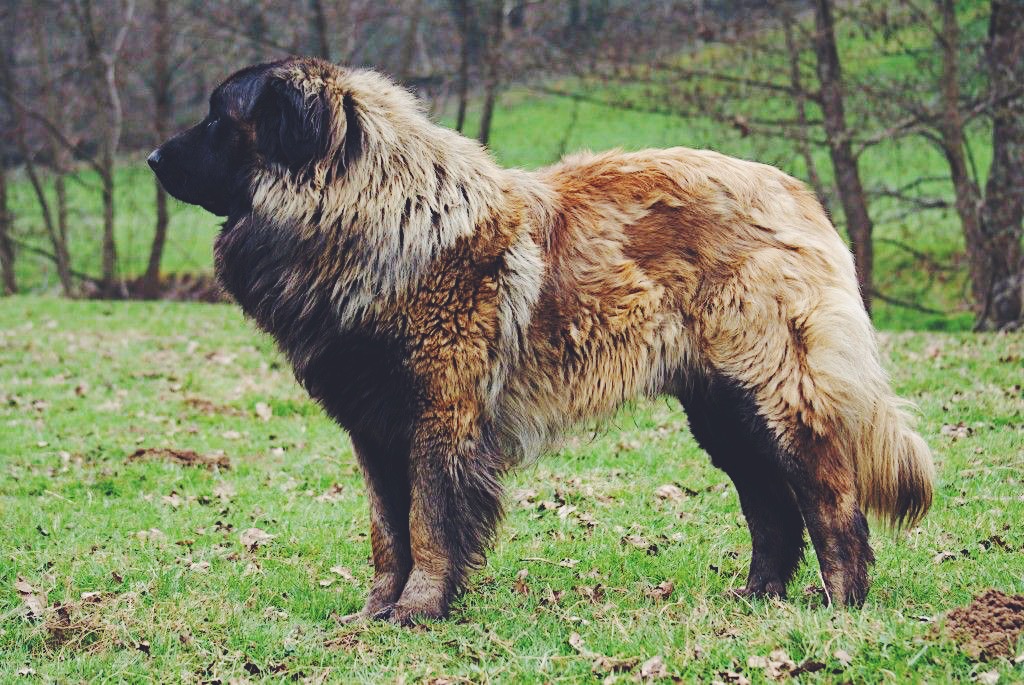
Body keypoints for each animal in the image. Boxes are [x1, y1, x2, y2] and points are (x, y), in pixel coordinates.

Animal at [151, 60, 937, 626]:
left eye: (220, 118)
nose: (155, 157)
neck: (372, 214)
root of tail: (796, 192)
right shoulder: (374, 430)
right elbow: (386, 530)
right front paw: (375, 609)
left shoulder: (440, 419)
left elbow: (427, 524)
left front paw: (417, 610)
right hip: (721, 410)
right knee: (771, 504)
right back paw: (756, 599)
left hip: (777, 393)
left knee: (829, 496)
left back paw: (840, 604)